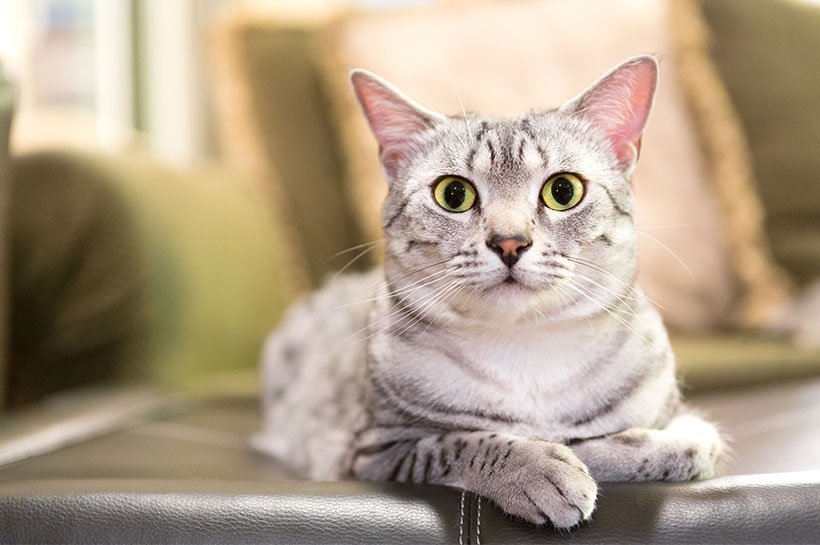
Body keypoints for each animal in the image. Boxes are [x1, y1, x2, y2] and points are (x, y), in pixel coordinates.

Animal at [255, 55, 724, 528]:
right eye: (454, 194)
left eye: (563, 190)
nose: (509, 242)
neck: (526, 354)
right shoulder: (375, 451)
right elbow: (469, 442)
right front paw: (543, 468)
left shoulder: (677, 421)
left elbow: (683, 445)